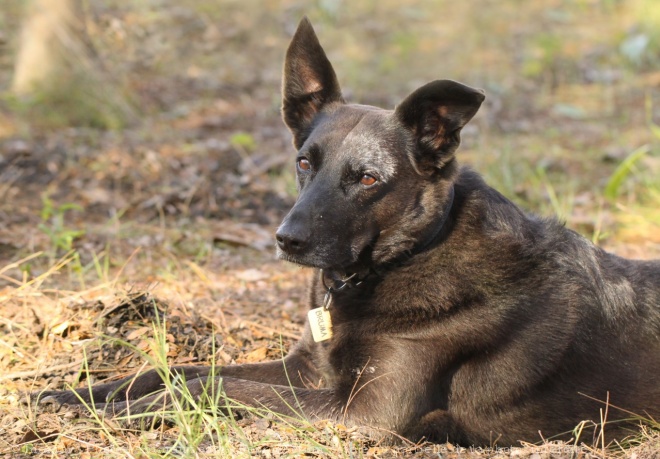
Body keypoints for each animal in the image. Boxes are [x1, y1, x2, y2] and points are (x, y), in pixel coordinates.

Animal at [36, 17, 660, 446]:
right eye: (304, 162)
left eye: (367, 178)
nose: (286, 240)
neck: (395, 262)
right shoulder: (306, 368)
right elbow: (179, 368)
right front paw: (80, 394)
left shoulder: (363, 412)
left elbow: (211, 385)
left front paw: (130, 411)